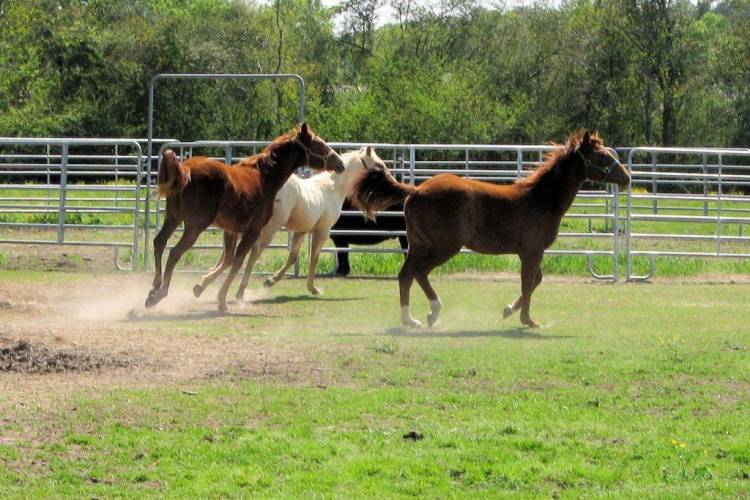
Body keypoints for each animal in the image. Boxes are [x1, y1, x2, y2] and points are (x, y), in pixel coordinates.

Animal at [144, 124, 344, 312]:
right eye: (318, 144)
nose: (340, 163)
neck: (264, 178)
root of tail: (185, 169)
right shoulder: (253, 231)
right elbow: (238, 261)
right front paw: (222, 300)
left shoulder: (231, 230)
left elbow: (229, 259)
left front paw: (205, 289)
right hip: (194, 227)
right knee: (174, 252)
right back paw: (159, 294)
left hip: (173, 218)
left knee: (159, 242)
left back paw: (153, 288)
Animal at [194, 146, 388, 298]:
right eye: (378, 165)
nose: (391, 178)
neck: (332, 188)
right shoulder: (322, 231)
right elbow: (314, 258)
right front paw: (313, 288)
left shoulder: (301, 231)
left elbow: (293, 257)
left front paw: (271, 280)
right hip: (268, 229)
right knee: (252, 253)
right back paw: (238, 291)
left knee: (228, 255)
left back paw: (203, 285)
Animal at [352, 129, 628, 328]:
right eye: (601, 157)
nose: (627, 177)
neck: (541, 198)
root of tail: (417, 190)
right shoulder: (533, 252)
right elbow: (528, 282)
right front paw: (528, 320)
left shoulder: (530, 253)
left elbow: (535, 280)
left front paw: (508, 310)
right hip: (444, 247)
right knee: (419, 272)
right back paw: (433, 313)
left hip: (417, 244)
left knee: (405, 275)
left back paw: (410, 320)